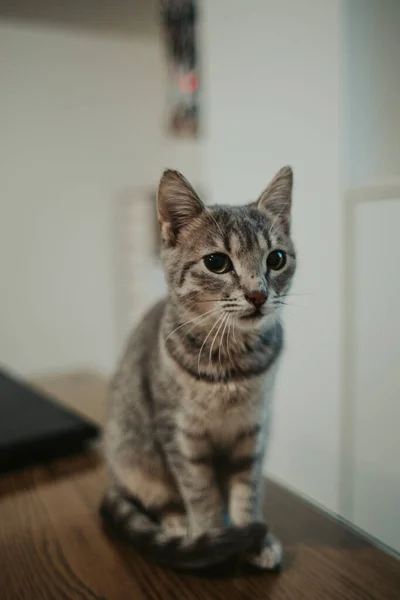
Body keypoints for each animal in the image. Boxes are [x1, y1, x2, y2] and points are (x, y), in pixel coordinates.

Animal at [101, 166, 296, 568]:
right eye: (217, 262)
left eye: (276, 258)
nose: (258, 294)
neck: (233, 367)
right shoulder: (181, 435)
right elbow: (200, 495)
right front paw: (212, 539)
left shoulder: (252, 431)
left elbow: (247, 492)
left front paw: (252, 537)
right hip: (133, 457)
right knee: (157, 500)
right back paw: (178, 524)